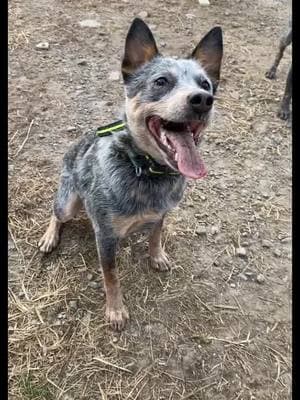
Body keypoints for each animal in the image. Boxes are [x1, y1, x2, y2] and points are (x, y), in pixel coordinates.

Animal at [38, 18, 223, 330]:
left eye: (206, 84)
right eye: (161, 82)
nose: (202, 100)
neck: (146, 169)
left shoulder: (161, 213)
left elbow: (156, 234)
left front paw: (157, 255)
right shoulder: (106, 236)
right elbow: (111, 277)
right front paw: (115, 310)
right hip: (68, 201)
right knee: (56, 211)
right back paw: (50, 236)